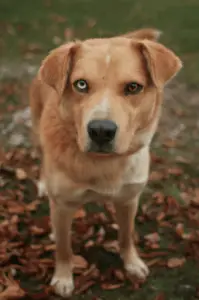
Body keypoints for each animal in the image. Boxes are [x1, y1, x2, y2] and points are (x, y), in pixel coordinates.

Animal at [29, 28, 182, 298]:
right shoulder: (63, 206)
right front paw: (63, 276)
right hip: (38, 132)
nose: (101, 131)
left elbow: (126, 235)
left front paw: (132, 263)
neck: (103, 164)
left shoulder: (129, 199)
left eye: (133, 87)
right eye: (81, 84)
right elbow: (64, 248)